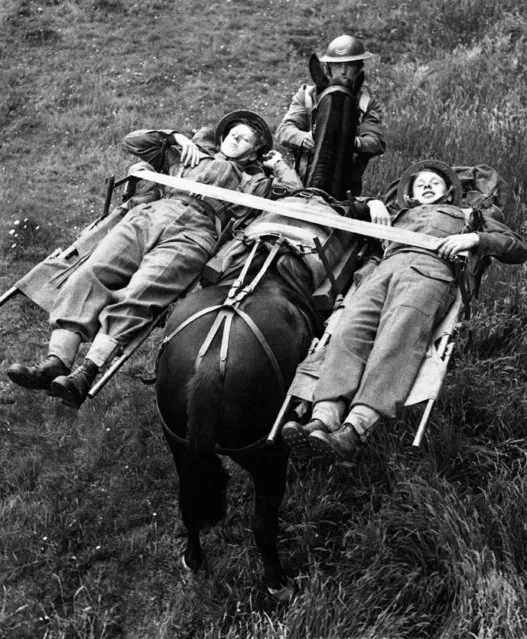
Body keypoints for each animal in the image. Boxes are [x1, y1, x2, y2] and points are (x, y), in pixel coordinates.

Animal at [155, 62, 360, 596]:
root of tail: (211, 366)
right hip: (267, 458)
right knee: (263, 524)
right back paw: (276, 582)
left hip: (178, 444)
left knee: (189, 503)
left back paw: (194, 558)